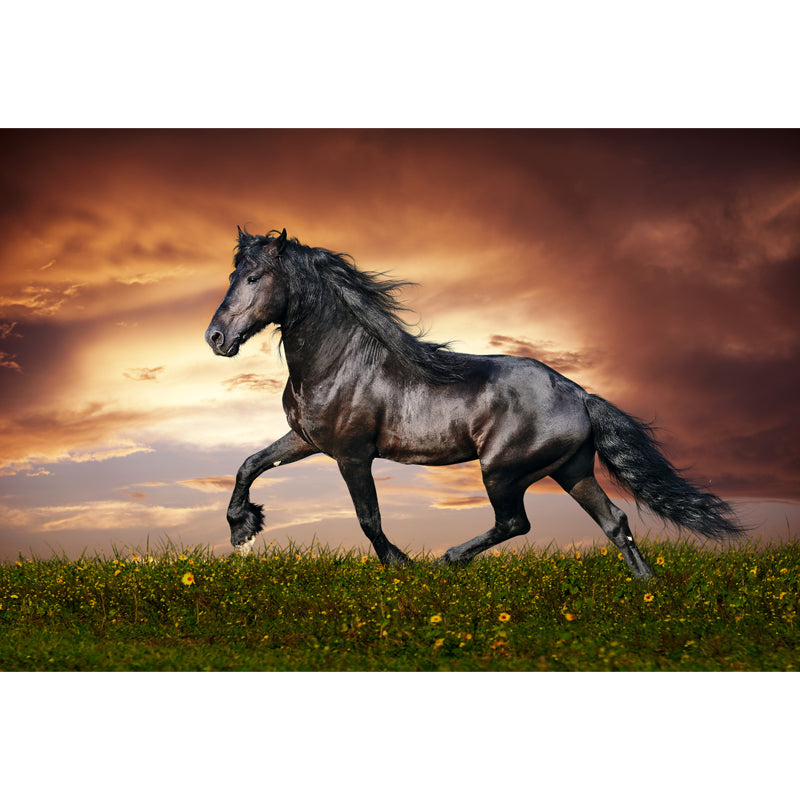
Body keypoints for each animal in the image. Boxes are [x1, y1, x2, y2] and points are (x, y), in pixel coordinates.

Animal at [205, 228, 744, 579]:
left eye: (254, 278)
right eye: (233, 275)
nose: (216, 338)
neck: (339, 361)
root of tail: (580, 395)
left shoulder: (352, 454)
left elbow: (368, 518)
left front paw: (402, 566)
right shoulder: (307, 439)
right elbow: (249, 464)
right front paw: (242, 529)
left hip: (502, 470)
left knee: (515, 522)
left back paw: (448, 560)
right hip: (571, 470)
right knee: (615, 522)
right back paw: (647, 590)